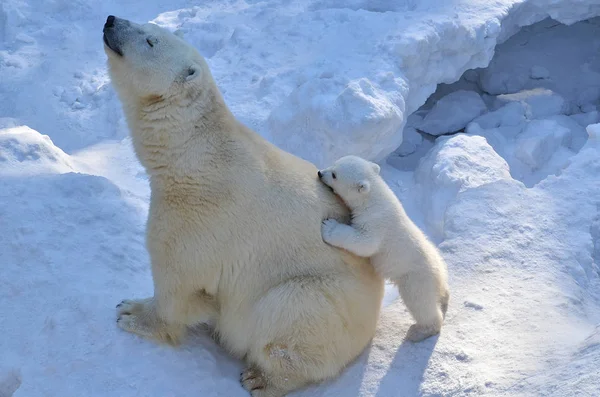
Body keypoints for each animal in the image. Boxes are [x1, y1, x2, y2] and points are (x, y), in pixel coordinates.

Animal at [102, 14, 384, 392]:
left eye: (149, 40)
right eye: (148, 27)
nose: (111, 20)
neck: (194, 159)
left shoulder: (201, 216)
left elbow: (176, 276)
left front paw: (133, 312)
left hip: (323, 300)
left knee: (289, 313)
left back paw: (262, 379)